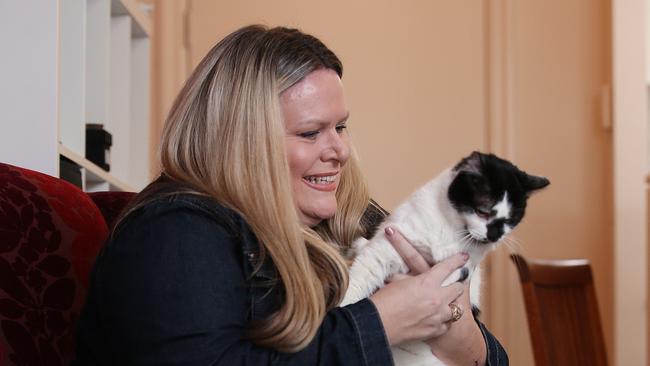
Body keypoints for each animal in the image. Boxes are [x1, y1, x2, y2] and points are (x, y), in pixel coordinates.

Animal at [340, 152, 548, 366]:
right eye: (483, 211)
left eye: (510, 220)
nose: (494, 236)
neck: (452, 229)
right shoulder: (385, 248)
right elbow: (358, 280)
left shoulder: (461, 268)